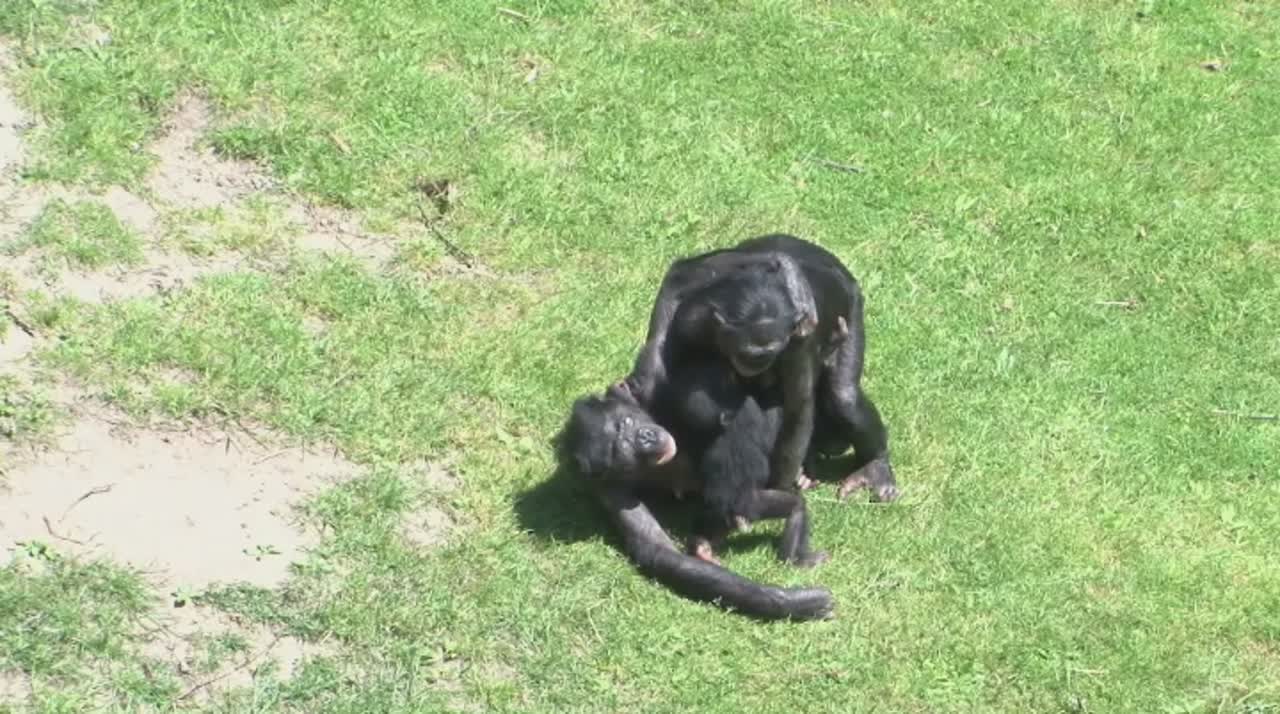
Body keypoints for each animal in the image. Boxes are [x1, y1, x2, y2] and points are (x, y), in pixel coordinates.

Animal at [556, 382, 835, 621]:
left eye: (627, 421)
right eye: (621, 449)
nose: (644, 438)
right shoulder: (611, 493)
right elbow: (660, 552)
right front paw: (793, 601)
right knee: (786, 505)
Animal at [627, 234, 900, 502]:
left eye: (766, 353)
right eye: (748, 353)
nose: (755, 364)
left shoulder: (797, 341)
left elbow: (798, 405)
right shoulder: (692, 315)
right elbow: (684, 276)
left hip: (853, 309)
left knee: (844, 398)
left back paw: (874, 468)